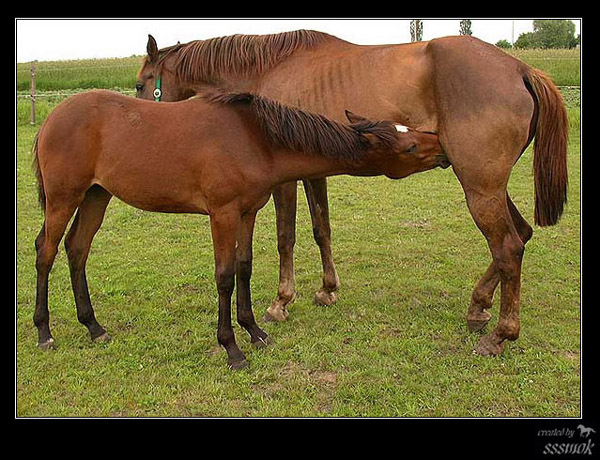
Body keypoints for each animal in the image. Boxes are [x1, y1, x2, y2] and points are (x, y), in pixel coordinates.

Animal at [31, 89, 446, 370]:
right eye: (409, 147)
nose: (442, 144)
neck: (254, 137)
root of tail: (52, 118)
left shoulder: (248, 212)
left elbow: (244, 268)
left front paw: (256, 332)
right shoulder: (223, 214)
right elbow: (225, 276)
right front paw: (232, 348)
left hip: (96, 196)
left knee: (77, 249)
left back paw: (93, 327)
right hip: (64, 198)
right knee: (46, 252)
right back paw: (44, 333)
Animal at [135, 31, 568, 356]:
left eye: (141, 83)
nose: (140, 122)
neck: (269, 69)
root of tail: (520, 68)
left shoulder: (283, 182)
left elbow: (286, 236)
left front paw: (281, 301)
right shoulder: (313, 170)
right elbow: (320, 229)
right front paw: (327, 290)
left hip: (479, 187)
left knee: (508, 247)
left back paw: (501, 334)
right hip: (488, 187)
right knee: (520, 235)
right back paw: (478, 307)